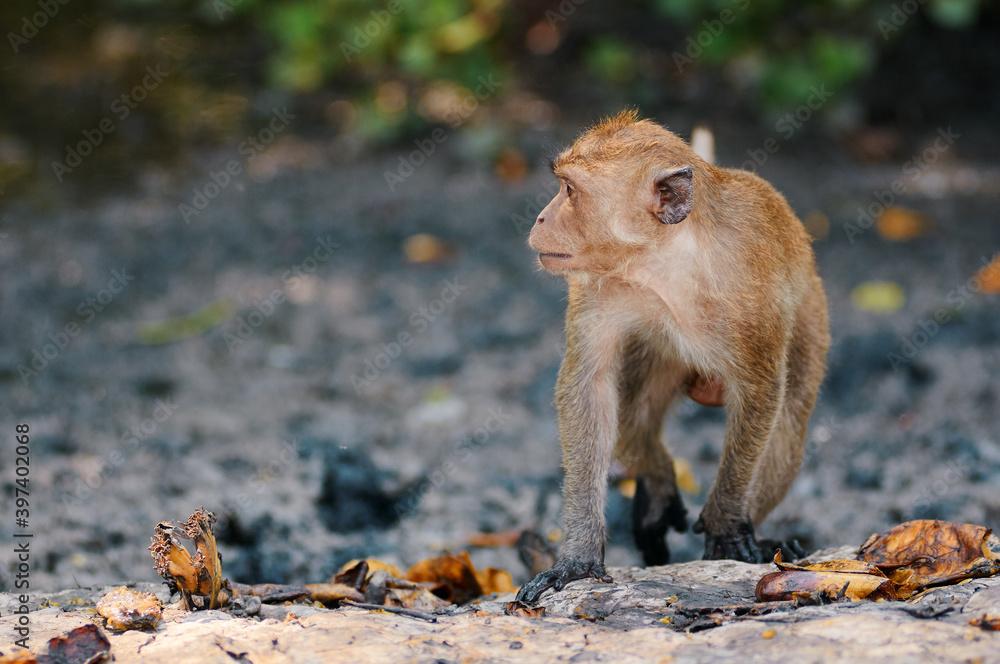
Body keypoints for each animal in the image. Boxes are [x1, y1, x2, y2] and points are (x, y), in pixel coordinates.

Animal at [515, 110, 829, 605]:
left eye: (569, 190)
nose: (542, 216)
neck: (664, 260)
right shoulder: (597, 285)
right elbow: (589, 388)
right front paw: (579, 558)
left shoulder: (750, 292)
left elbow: (761, 393)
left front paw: (726, 525)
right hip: (661, 356)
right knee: (634, 413)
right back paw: (658, 486)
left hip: (811, 316)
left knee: (789, 416)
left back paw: (758, 534)